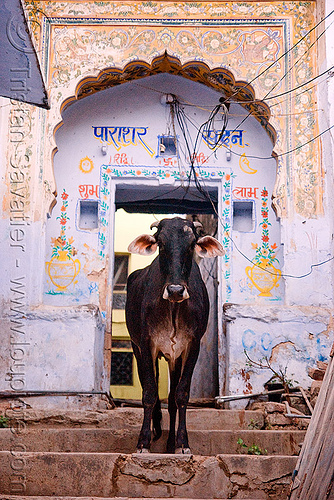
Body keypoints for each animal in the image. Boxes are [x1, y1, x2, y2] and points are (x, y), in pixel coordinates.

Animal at [125, 216, 224, 454]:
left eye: (191, 244)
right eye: (160, 243)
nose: (176, 290)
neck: (173, 307)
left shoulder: (191, 346)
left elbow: (180, 395)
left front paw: (182, 443)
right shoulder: (146, 344)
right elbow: (149, 393)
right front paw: (143, 442)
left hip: (173, 358)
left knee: (170, 399)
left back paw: (169, 442)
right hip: (137, 348)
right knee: (149, 386)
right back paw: (156, 428)